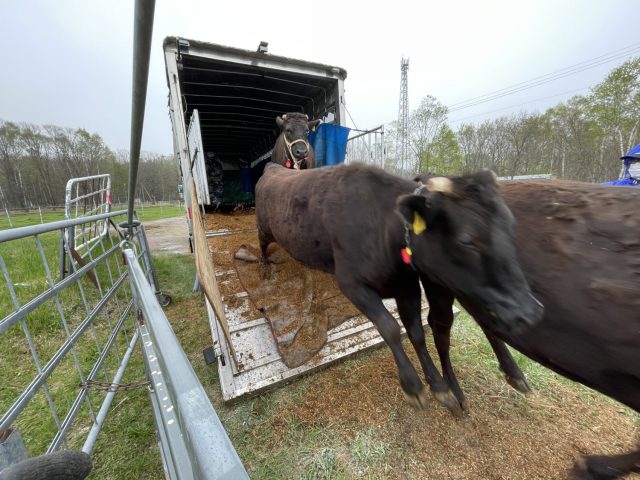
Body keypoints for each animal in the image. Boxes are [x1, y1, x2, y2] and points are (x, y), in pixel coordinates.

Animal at [252, 163, 544, 414]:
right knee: (263, 245)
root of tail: (273, 167)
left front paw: (439, 386)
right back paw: (265, 268)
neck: (381, 229)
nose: (531, 311)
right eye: (466, 240)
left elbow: (416, 333)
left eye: (511, 225)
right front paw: (413, 385)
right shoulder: (352, 284)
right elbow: (390, 327)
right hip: (264, 227)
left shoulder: (407, 288)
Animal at [416, 174, 640, 478]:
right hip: (439, 282)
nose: (535, 311)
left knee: (484, 321)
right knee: (441, 328)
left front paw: (595, 466)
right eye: (466, 240)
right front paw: (592, 466)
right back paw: (454, 392)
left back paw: (513, 373)